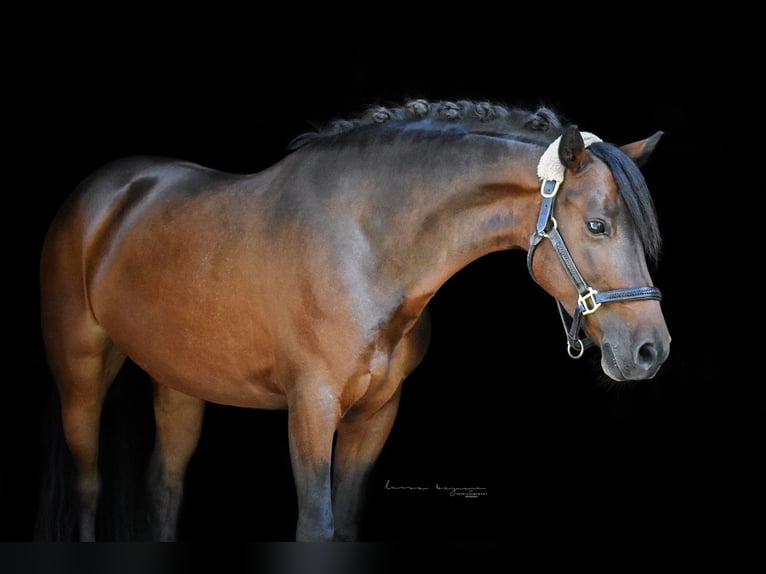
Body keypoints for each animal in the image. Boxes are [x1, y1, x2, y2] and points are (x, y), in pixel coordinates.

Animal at [38, 98, 671, 542]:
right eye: (596, 225)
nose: (651, 350)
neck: (367, 243)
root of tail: (102, 195)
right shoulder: (312, 407)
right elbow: (315, 527)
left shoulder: (377, 412)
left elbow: (343, 523)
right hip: (80, 375)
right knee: (89, 486)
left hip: (180, 383)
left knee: (164, 490)